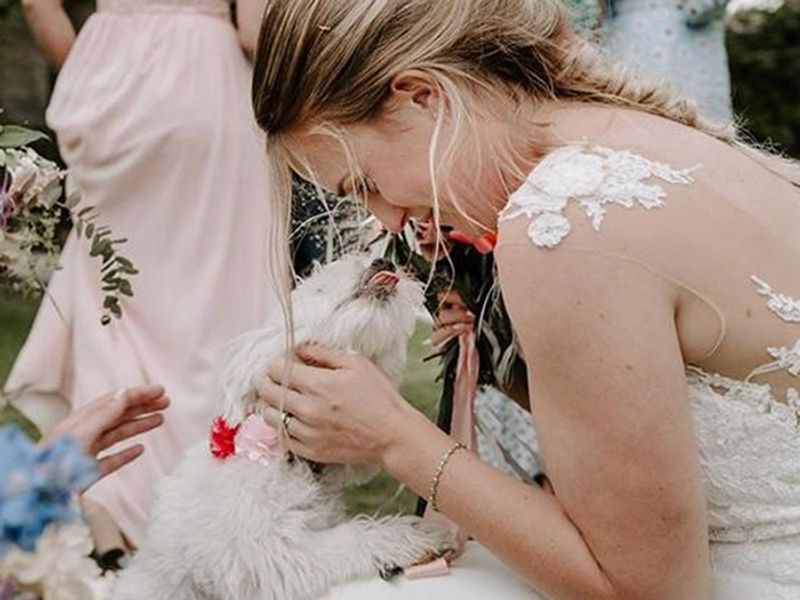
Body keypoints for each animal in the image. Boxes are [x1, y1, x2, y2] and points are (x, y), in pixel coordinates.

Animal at [111, 256, 450, 600]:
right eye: (319, 287)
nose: (383, 259)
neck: (284, 455)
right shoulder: (266, 553)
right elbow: (348, 538)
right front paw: (411, 534)